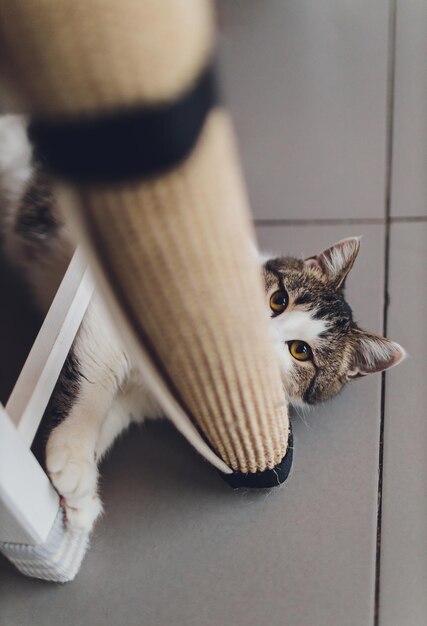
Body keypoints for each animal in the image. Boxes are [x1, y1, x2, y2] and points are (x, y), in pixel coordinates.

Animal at [0, 113, 406, 532]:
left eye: (301, 351)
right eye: (279, 300)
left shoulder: (144, 399)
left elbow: (113, 415)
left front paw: (81, 498)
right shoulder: (109, 310)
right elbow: (95, 382)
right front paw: (73, 456)